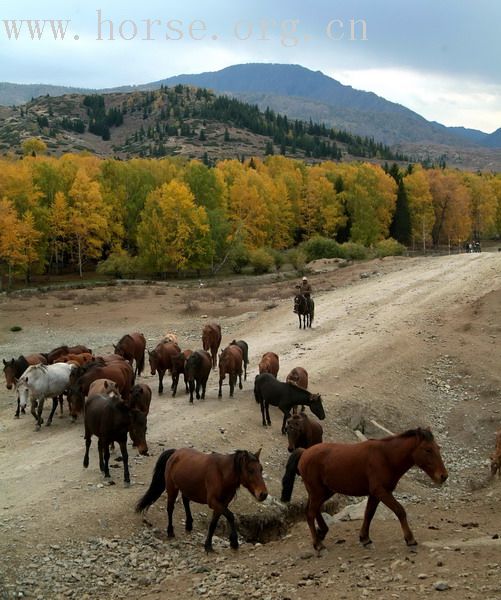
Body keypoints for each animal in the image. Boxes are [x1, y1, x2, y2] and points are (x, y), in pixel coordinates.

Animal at [135, 446, 268, 552]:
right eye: (250, 470)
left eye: (261, 469)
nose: (263, 494)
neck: (222, 474)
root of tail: (175, 452)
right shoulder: (213, 502)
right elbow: (230, 516)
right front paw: (234, 541)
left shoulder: (222, 504)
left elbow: (214, 523)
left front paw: (208, 545)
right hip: (172, 488)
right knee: (170, 508)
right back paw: (170, 531)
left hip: (187, 488)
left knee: (185, 501)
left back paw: (189, 524)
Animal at [280, 428, 448, 552]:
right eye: (428, 450)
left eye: (438, 448)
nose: (443, 476)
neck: (386, 456)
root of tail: (304, 452)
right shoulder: (381, 491)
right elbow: (400, 510)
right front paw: (410, 539)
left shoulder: (375, 494)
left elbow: (369, 514)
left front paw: (364, 538)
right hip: (318, 492)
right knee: (310, 513)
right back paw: (318, 544)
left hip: (323, 491)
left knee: (313, 510)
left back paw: (322, 532)